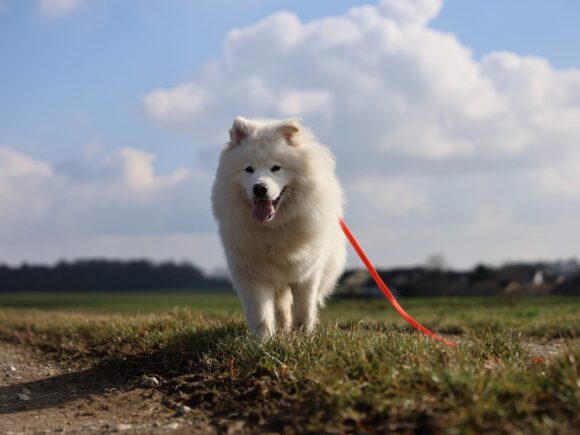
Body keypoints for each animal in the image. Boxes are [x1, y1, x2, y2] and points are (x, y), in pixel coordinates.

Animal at [214, 117, 346, 338]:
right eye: (248, 169)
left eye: (276, 168)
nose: (260, 188)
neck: (273, 229)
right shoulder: (253, 277)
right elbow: (261, 315)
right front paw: (264, 341)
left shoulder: (307, 274)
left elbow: (304, 311)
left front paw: (303, 336)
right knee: (281, 307)